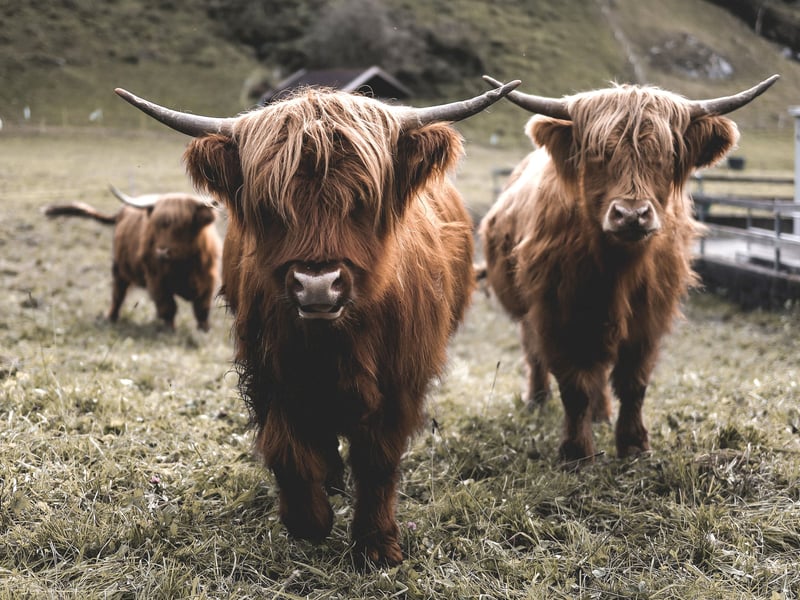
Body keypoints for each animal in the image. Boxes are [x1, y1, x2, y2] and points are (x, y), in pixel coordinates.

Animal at [44, 185, 222, 331]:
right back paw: (111, 318)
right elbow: (168, 307)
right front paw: (170, 330)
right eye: (156, 226)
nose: (162, 252)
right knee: (118, 294)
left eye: (184, 226)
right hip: (118, 268)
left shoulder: (208, 280)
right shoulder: (157, 280)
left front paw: (204, 330)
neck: (183, 266)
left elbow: (202, 308)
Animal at [114, 80, 520, 565]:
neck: (337, 343)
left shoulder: (402, 378)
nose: (318, 285)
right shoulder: (270, 371)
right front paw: (310, 520)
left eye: (363, 201)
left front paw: (376, 545)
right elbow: (289, 449)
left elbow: (378, 459)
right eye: (270, 205)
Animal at [479, 75, 778, 466]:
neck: (616, 269)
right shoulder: (557, 313)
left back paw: (601, 414)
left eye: (665, 156)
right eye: (597, 155)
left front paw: (634, 445)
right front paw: (577, 452)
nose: (632, 215)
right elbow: (574, 386)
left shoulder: (649, 317)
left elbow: (633, 382)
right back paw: (538, 401)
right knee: (536, 354)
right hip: (529, 312)